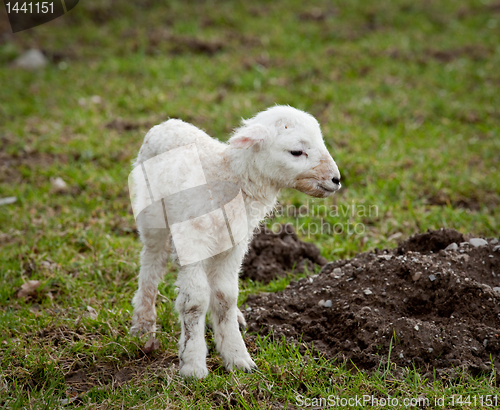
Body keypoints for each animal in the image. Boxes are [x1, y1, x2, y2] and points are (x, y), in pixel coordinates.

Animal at [127, 105, 342, 378]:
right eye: (296, 151)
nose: (336, 179)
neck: (228, 176)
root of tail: (166, 123)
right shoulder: (192, 243)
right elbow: (194, 302)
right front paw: (193, 364)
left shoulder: (234, 245)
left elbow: (225, 297)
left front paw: (237, 357)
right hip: (152, 214)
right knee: (151, 263)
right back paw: (143, 325)